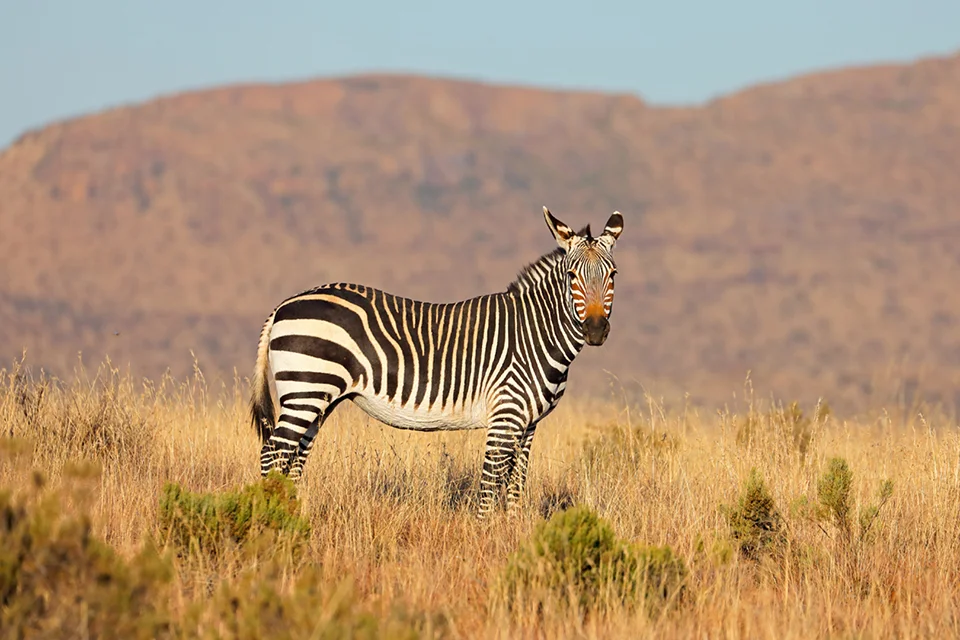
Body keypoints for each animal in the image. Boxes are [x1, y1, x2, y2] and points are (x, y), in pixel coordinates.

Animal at [249, 206, 623, 517]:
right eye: (572, 276)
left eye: (613, 275)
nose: (595, 330)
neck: (535, 333)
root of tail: (284, 304)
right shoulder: (504, 417)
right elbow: (490, 484)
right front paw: (486, 536)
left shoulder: (528, 424)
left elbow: (515, 485)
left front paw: (513, 531)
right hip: (305, 389)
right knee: (274, 453)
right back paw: (271, 519)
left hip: (317, 399)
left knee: (294, 459)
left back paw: (293, 517)